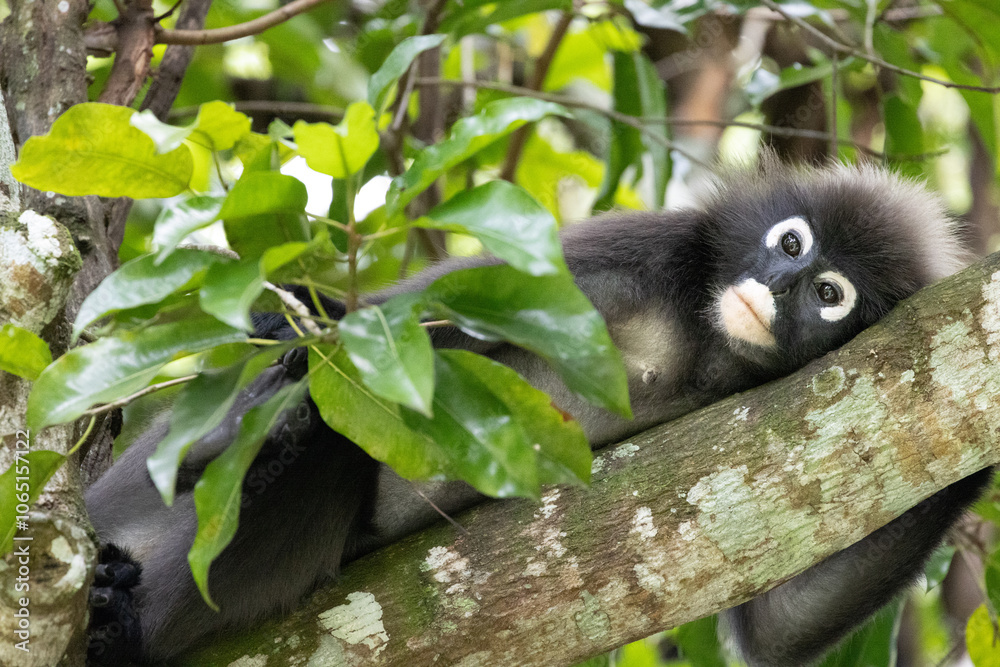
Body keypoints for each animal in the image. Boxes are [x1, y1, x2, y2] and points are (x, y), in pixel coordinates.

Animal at [83, 156, 992, 666]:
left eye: (828, 293)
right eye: (792, 244)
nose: (774, 289)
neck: (697, 338)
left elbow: (772, 632)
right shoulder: (639, 247)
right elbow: (401, 325)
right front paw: (297, 325)